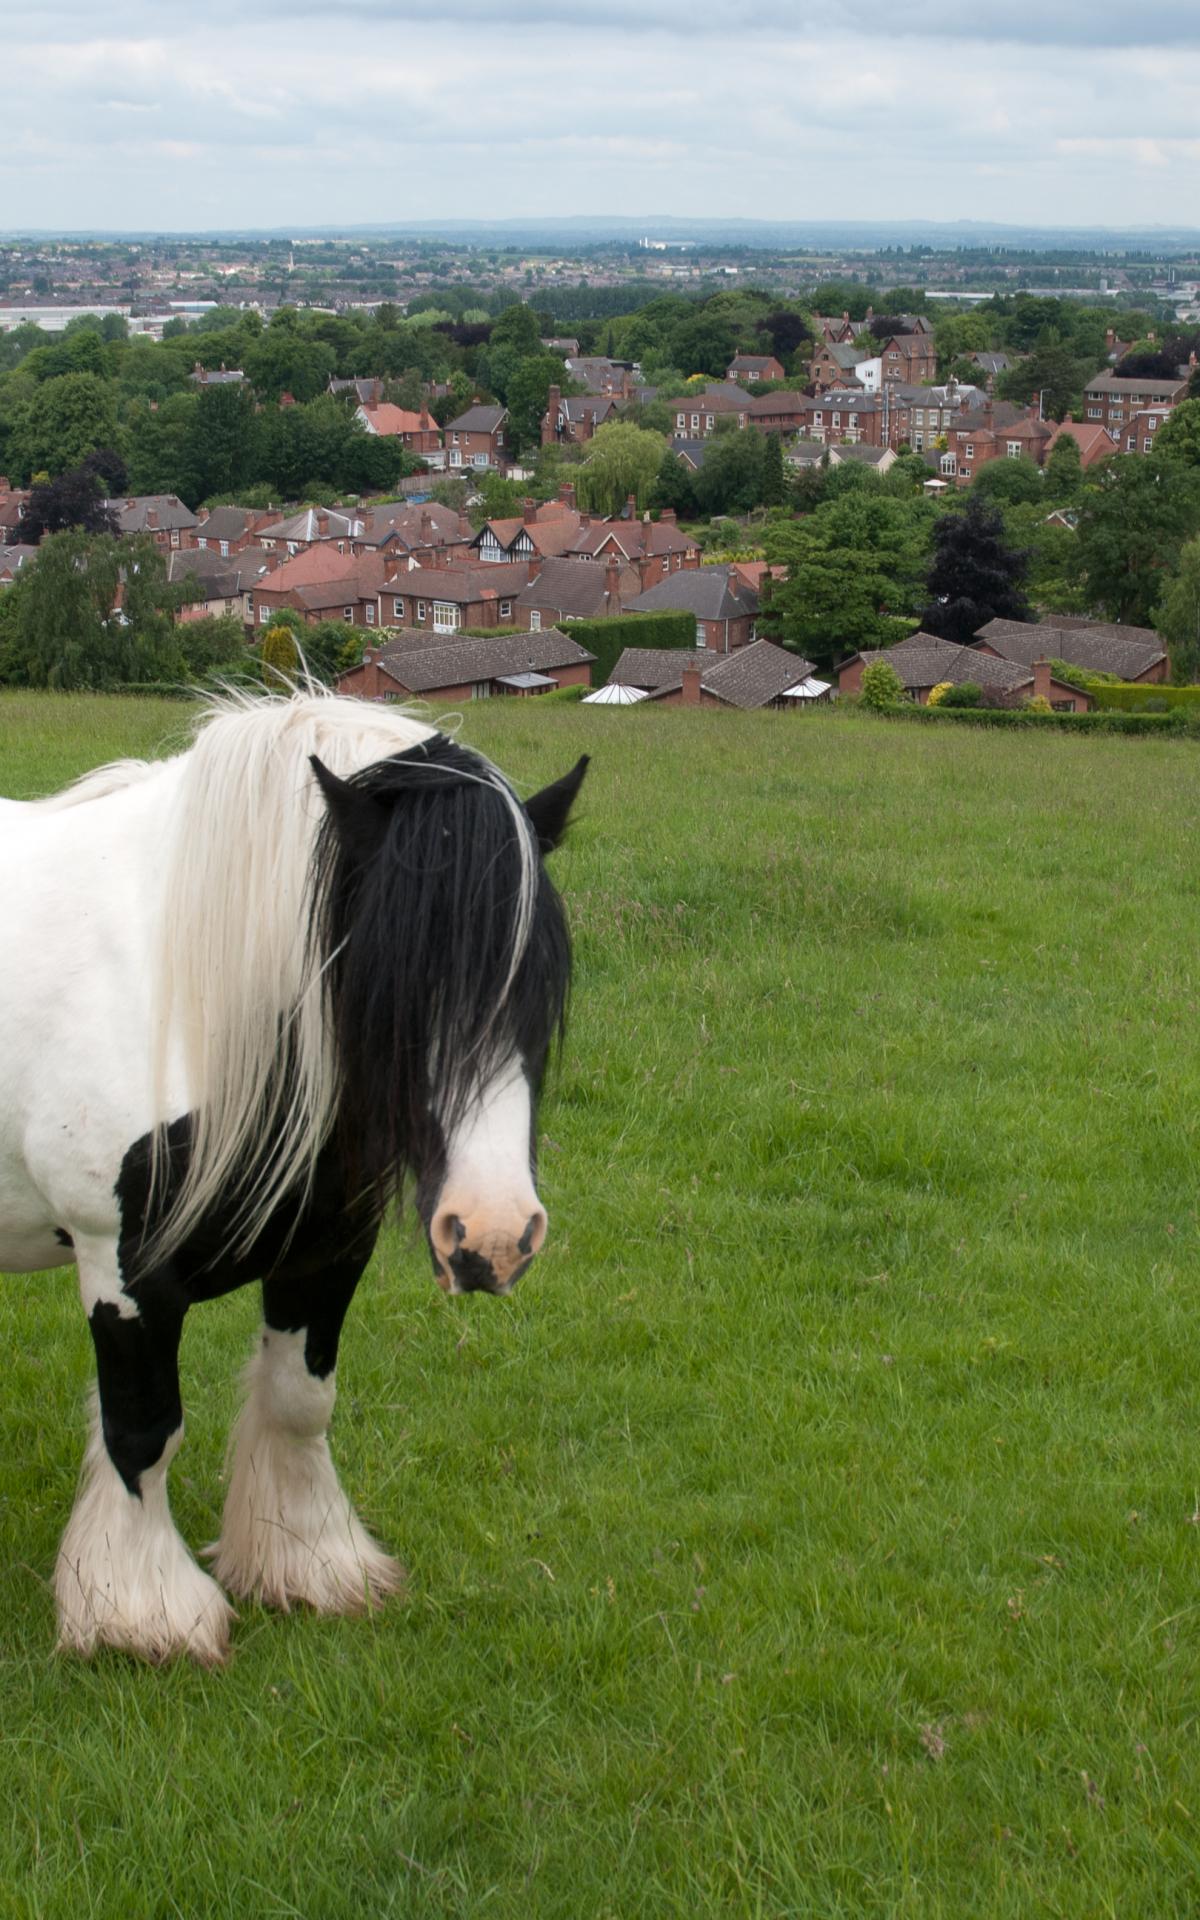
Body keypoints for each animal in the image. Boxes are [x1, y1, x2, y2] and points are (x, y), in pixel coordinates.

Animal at [0, 686, 587, 1664]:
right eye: (390, 972)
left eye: (538, 975)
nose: (494, 1235)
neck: (184, 996)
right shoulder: (123, 1270)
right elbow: (142, 1430)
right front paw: (141, 1613)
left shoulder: (324, 1250)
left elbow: (300, 1399)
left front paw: (308, 1563)